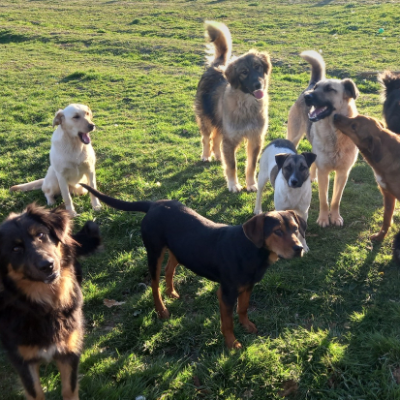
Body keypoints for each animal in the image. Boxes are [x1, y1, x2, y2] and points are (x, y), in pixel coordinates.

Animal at [0, 204, 101, 400]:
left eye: (41, 235)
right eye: (15, 249)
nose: (48, 265)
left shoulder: (69, 348)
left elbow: (69, 389)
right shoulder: (23, 359)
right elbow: (36, 393)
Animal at [80, 183, 305, 349]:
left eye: (295, 229)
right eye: (277, 231)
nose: (299, 248)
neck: (251, 250)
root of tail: (154, 205)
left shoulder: (247, 286)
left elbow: (243, 309)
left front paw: (248, 326)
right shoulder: (226, 293)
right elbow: (228, 322)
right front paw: (232, 343)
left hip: (178, 250)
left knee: (169, 270)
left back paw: (171, 292)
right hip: (154, 251)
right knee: (154, 283)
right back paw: (161, 310)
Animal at [195, 21, 272, 193]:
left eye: (258, 67)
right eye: (244, 72)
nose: (258, 85)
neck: (247, 105)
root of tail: (216, 65)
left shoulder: (255, 139)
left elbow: (251, 165)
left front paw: (251, 184)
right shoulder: (230, 140)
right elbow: (231, 166)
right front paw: (233, 185)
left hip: (220, 123)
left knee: (216, 138)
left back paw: (218, 155)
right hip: (206, 119)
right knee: (206, 138)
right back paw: (206, 155)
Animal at [287, 50, 359, 227]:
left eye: (329, 89)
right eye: (316, 88)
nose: (308, 96)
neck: (335, 133)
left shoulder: (343, 173)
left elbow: (335, 200)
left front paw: (335, 217)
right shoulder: (324, 172)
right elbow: (324, 199)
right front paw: (323, 219)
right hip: (294, 137)